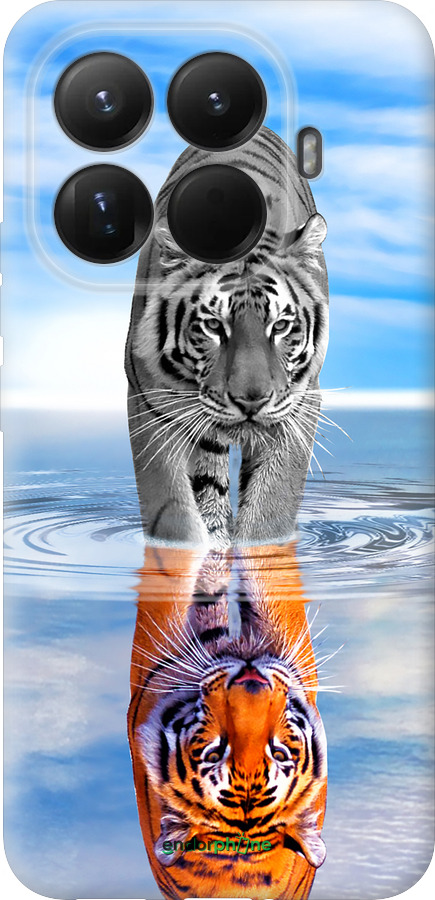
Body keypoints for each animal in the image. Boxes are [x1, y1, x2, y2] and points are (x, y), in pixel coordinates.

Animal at [125, 126, 329, 549]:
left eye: (280, 326)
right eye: (214, 326)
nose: (251, 401)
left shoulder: (300, 404)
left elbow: (270, 509)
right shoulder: (149, 401)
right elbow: (173, 512)